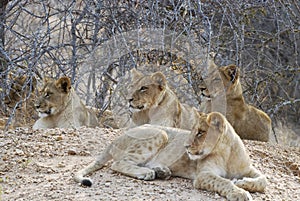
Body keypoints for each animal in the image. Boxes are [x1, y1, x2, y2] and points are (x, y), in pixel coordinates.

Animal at [74, 112, 266, 200]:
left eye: (200, 132)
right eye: (192, 130)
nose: (186, 146)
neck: (227, 153)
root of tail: (115, 139)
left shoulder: (248, 168)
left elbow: (263, 180)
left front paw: (242, 183)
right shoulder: (203, 175)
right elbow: (223, 181)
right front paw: (239, 193)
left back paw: (162, 171)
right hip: (160, 133)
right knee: (118, 164)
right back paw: (147, 173)